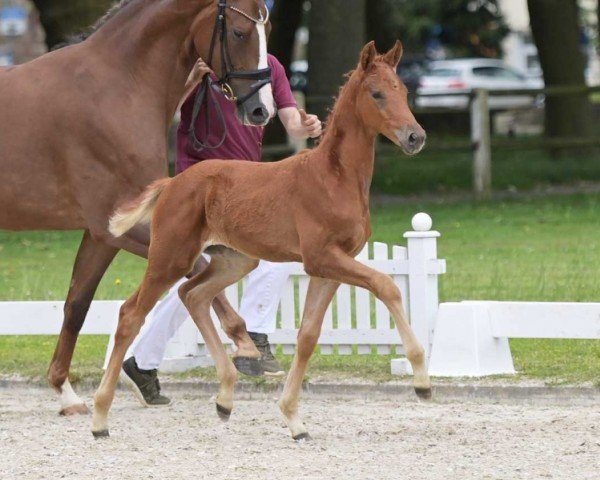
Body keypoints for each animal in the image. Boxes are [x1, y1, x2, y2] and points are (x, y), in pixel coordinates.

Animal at [0, 0, 274, 412]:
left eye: (266, 33)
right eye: (240, 33)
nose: (261, 111)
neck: (117, 87)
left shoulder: (103, 234)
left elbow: (76, 305)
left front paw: (65, 391)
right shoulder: (127, 227)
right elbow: (200, 267)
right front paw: (245, 345)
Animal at [97, 41, 426, 438]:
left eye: (404, 92)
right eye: (377, 94)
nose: (415, 137)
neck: (335, 177)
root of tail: (172, 182)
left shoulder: (330, 266)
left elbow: (308, 336)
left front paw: (293, 419)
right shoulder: (322, 257)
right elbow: (387, 286)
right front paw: (422, 380)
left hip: (235, 260)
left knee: (193, 295)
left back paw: (225, 396)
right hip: (171, 257)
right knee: (132, 313)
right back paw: (99, 417)